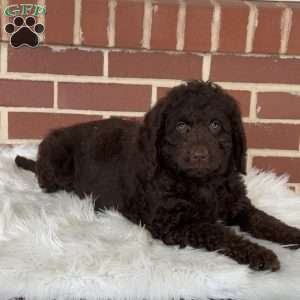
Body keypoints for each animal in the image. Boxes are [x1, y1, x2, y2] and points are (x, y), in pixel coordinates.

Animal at [15, 81, 300, 270]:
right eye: (181, 127)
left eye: (216, 125)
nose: (199, 155)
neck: (202, 182)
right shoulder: (175, 223)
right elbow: (220, 233)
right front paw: (261, 254)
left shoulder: (238, 204)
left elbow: (266, 220)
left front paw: (293, 234)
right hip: (55, 161)